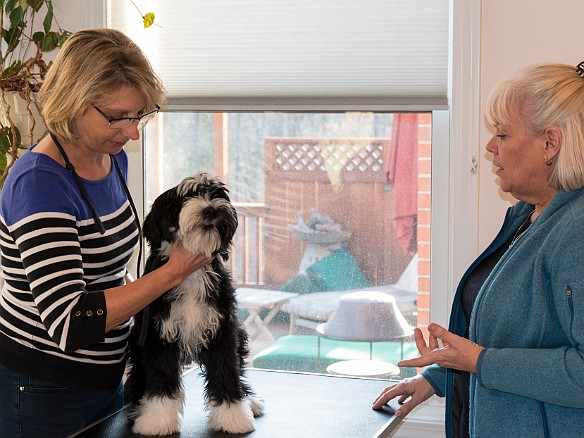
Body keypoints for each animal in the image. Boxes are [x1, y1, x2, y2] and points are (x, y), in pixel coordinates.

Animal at [127, 172, 264, 434]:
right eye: (185, 198)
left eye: (216, 195)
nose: (210, 210)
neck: (192, 273)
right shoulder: (158, 335)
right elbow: (161, 377)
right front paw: (157, 420)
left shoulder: (222, 331)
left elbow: (226, 372)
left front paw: (233, 417)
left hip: (239, 334)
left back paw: (250, 400)